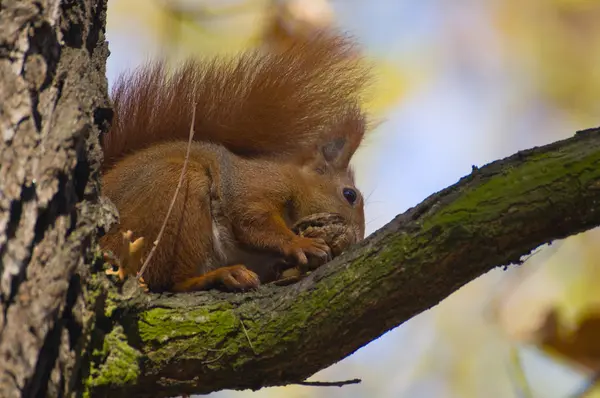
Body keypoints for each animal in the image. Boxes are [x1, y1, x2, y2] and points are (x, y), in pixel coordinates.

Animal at [99, 31, 370, 292]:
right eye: (349, 195)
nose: (355, 240)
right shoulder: (253, 184)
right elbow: (251, 219)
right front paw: (300, 243)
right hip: (172, 196)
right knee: (173, 281)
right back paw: (218, 276)